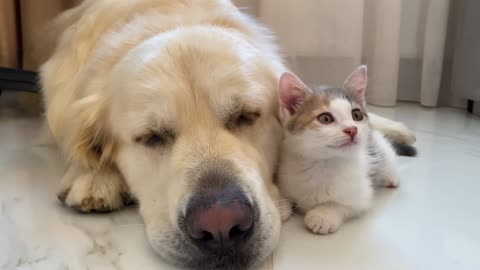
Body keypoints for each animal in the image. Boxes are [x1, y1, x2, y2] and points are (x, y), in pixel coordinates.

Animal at [276, 66, 400, 234]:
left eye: (356, 115)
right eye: (325, 118)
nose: (352, 129)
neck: (323, 164)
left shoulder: (360, 194)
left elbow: (343, 205)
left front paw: (323, 215)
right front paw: (280, 205)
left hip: (380, 147)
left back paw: (392, 178)